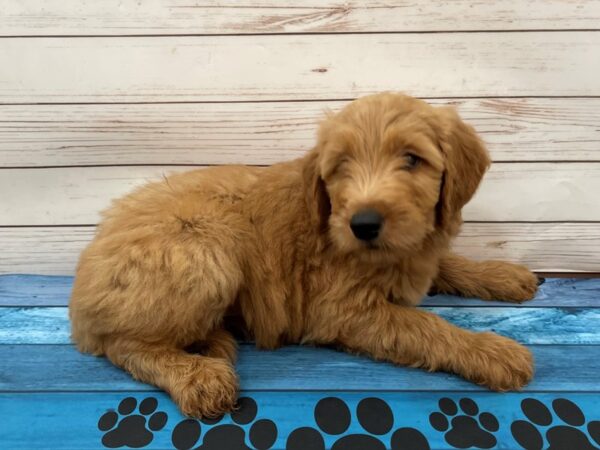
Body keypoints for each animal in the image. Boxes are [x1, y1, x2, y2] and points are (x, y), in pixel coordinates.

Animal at [70, 92, 540, 418]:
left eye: (412, 159)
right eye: (342, 165)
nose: (363, 224)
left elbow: (447, 263)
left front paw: (502, 275)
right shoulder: (341, 309)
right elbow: (425, 326)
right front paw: (492, 351)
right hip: (207, 251)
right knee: (123, 345)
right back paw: (196, 377)